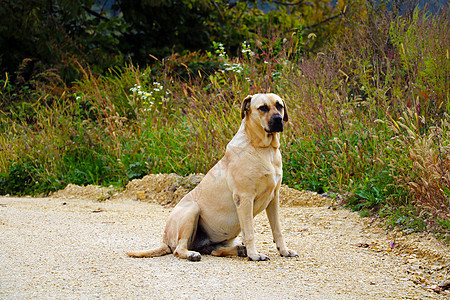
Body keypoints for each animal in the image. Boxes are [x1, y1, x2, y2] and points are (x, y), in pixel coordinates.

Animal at [126, 93, 298, 260]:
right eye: (262, 108)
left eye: (279, 106)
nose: (278, 119)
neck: (264, 148)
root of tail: (165, 240)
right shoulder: (244, 198)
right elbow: (250, 232)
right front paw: (255, 255)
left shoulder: (273, 198)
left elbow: (277, 230)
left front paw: (284, 251)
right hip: (192, 209)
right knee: (179, 249)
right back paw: (192, 254)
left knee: (215, 251)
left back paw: (239, 250)